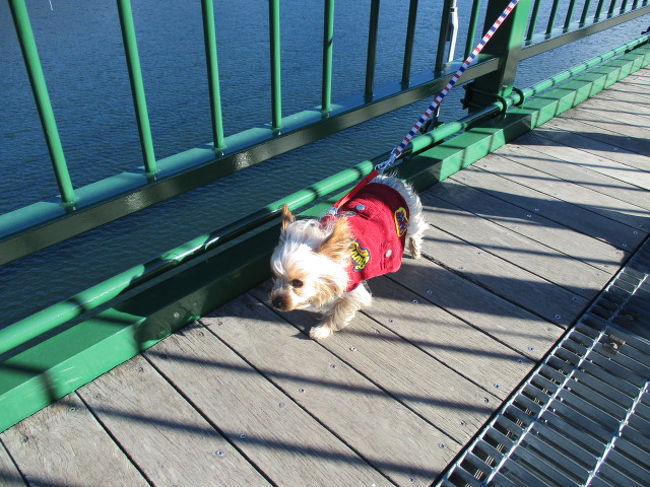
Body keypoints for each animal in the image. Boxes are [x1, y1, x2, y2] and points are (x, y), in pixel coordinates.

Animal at [268, 177, 426, 342]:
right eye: (274, 275)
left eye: (298, 283)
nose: (275, 302)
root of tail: (389, 179)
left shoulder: (354, 289)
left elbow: (338, 311)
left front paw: (321, 330)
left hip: (410, 219)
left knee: (416, 232)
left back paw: (415, 251)